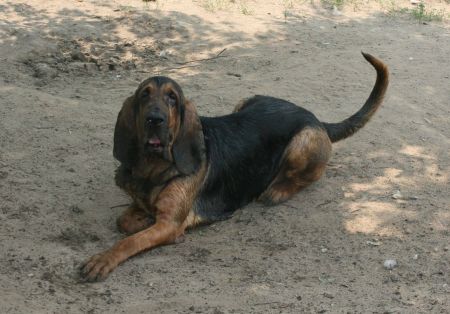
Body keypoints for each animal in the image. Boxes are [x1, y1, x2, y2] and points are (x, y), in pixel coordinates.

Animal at [79, 52, 388, 280]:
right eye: (144, 95)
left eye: (172, 98)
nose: (155, 119)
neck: (154, 168)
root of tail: (315, 117)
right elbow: (124, 221)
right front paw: (140, 218)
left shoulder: (169, 224)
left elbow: (129, 241)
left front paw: (103, 259)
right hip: (246, 100)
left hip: (302, 142)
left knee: (311, 175)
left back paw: (277, 190)